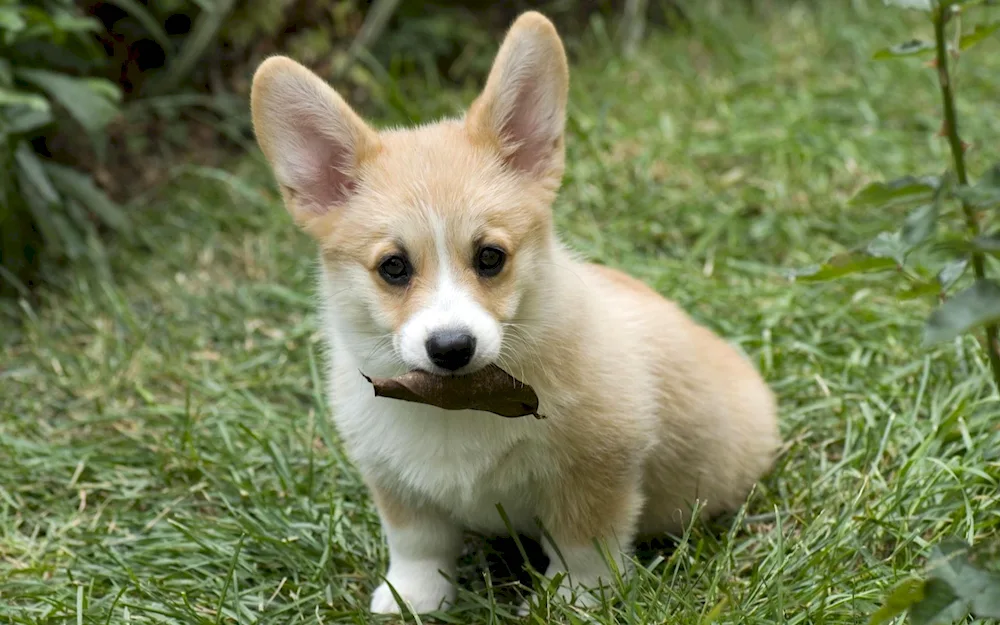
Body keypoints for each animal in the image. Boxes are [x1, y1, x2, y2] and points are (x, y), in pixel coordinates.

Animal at [250, 9, 780, 616]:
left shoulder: (597, 469)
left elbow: (583, 545)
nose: (451, 348)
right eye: (393, 268)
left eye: (490, 257)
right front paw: (412, 599)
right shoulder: (394, 480)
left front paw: (575, 603)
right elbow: (417, 544)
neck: (459, 403)